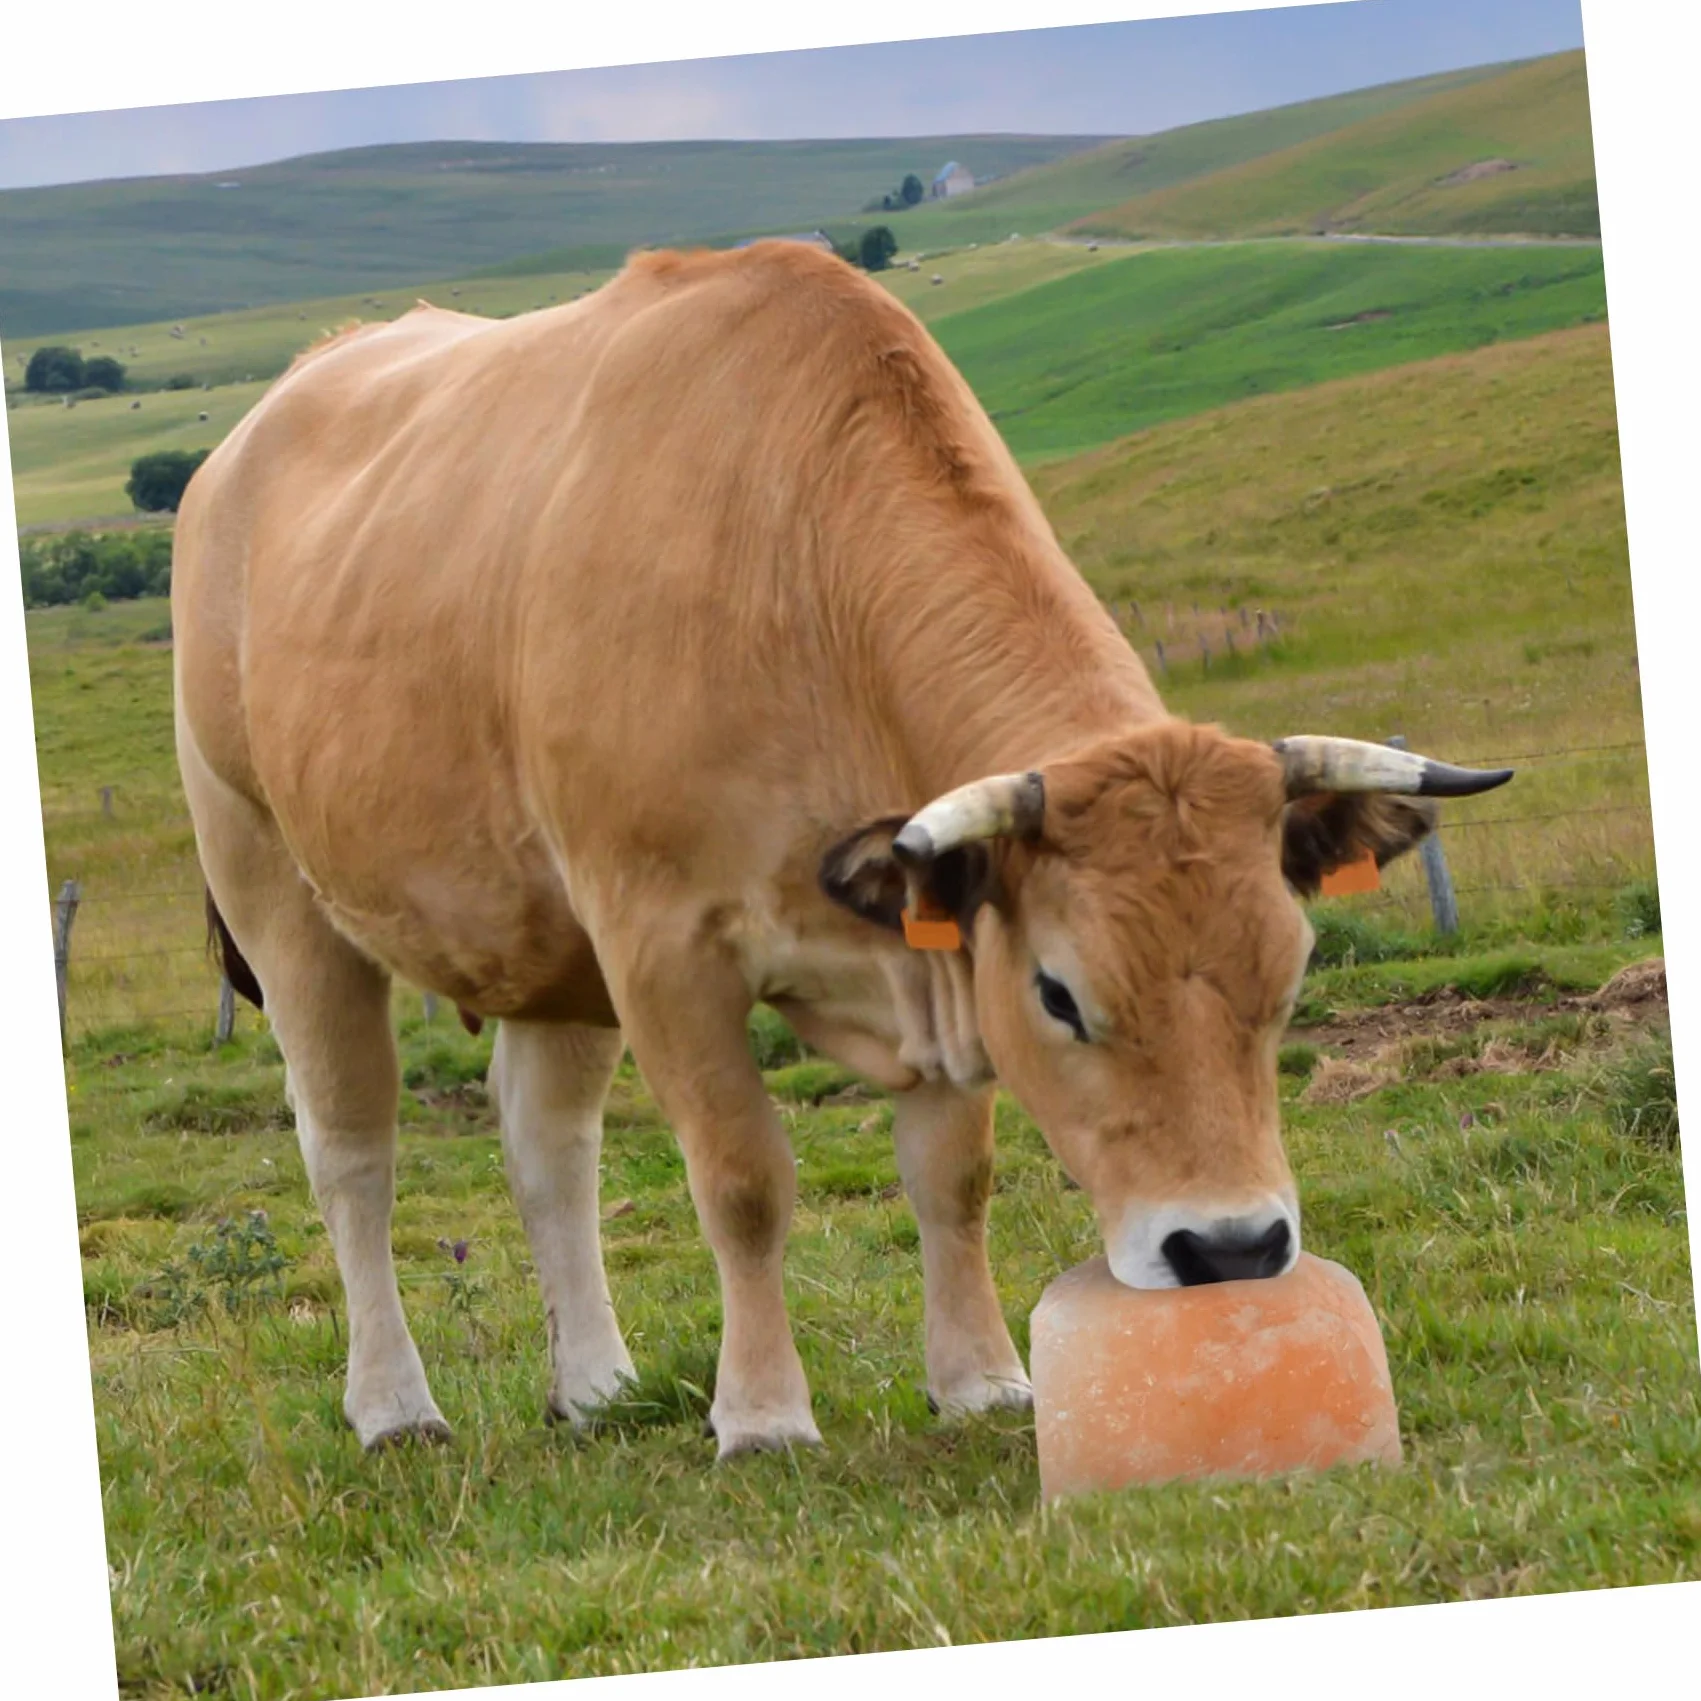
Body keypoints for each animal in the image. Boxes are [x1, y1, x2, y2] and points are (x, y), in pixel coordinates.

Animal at [172, 241, 1511, 1457]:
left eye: (1288, 978)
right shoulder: (663, 946)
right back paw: (395, 1408)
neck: (795, 572)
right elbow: (744, 1184)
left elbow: (953, 1177)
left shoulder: (929, 936)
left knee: (547, 1145)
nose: (1232, 1249)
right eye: (1061, 996)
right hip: (277, 888)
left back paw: (595, 1387)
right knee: (352, 1151)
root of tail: (268, 414)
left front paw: (980, 1381)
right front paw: (763, 1415)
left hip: (545, 940)